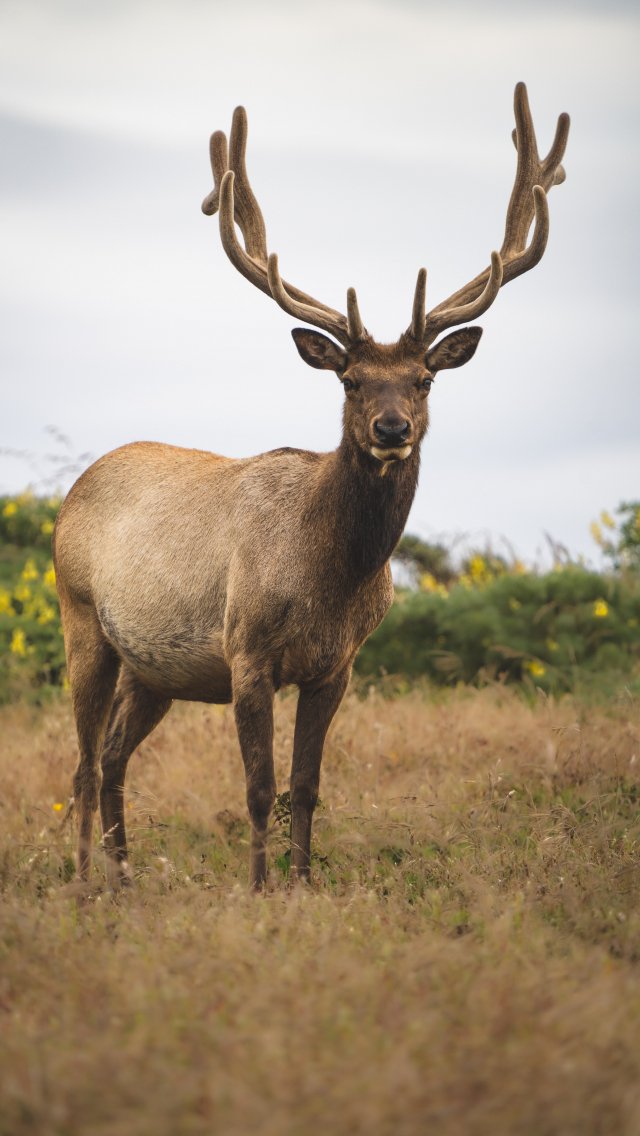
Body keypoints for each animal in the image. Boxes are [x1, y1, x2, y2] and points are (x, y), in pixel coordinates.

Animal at [53, 83, 569, 893]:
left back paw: (125, 875)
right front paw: (259, 887)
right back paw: (83, 881)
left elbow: (306, 785)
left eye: (423, 380)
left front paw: (299, 885)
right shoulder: (247, 649)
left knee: (108, 758)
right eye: (350, 380)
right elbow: (259, 785)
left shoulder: (339, 665)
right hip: (81, 618)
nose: (392, 427)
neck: (328, 577)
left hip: (154, 667)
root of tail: (78, 485)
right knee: (78, 761)